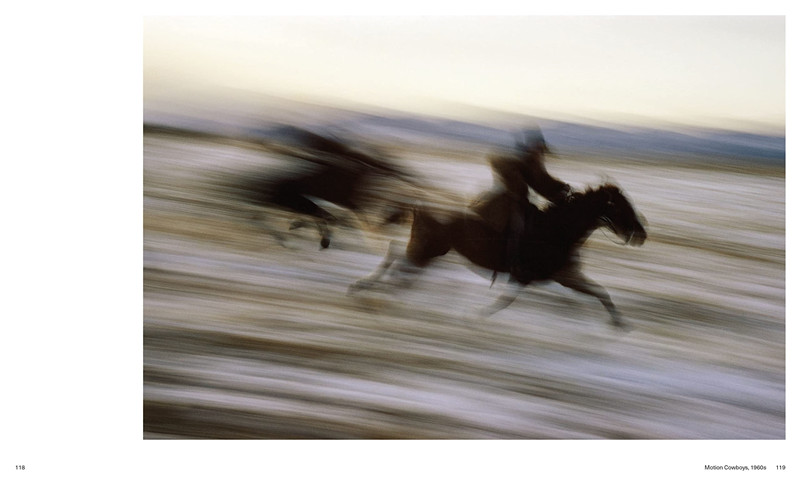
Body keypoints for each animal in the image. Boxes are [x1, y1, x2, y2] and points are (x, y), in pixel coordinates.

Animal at [346, 183, 648, 330]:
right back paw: (372, 292)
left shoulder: (565, 275)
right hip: (428, 250)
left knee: (396, 255)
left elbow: (601, 293)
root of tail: (419, 203)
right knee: (399, 262)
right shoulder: (526, 277)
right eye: (621, 206)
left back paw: (367, 289)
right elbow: (504, 301)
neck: (555, 230)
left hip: (427, 249)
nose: (641, 234)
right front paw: (474, 316)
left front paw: (620, 324)